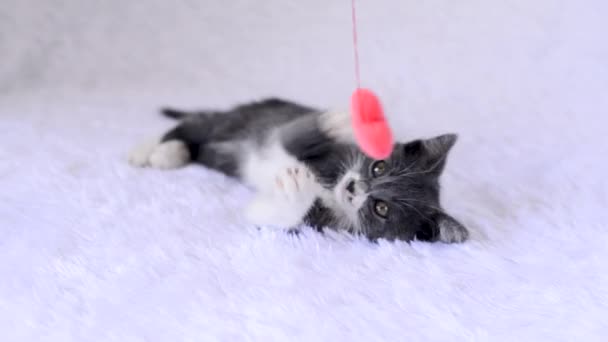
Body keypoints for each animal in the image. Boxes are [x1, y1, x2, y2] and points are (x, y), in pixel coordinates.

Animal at [131, 99, 468, 243]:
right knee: (191, 125)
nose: (353, 187)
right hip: (241, 119)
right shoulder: (332, 153)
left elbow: (266, 215)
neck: (330, 187)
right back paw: (148, 150)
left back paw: (169, 153)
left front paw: (295, 191)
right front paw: (340, 121)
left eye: (381, 207)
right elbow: (294, 134)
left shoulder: (319, 225)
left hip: (221, 152)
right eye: (379, 166)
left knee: (198, 142)